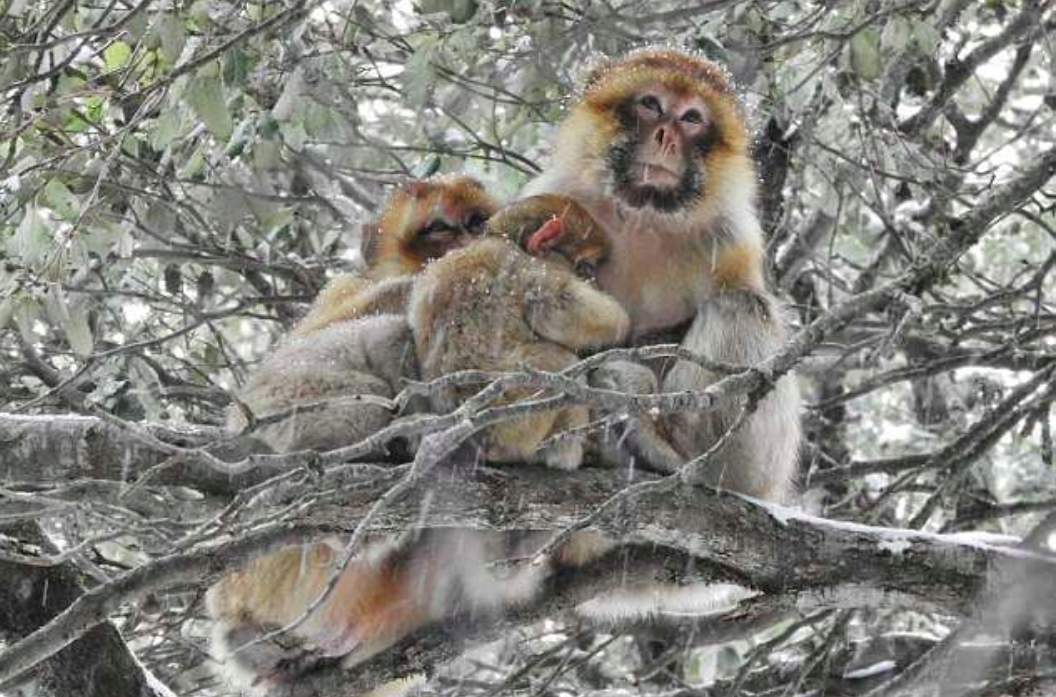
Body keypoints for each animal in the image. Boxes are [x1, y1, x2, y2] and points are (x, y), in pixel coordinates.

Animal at [408, 193, 631, 470]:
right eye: (586, 268)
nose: (595, 282)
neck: (500, 239)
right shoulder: (529, 268)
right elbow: (556, 310)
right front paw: (622, 323)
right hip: (514, 421)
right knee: (559, 362)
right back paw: (563, 454)